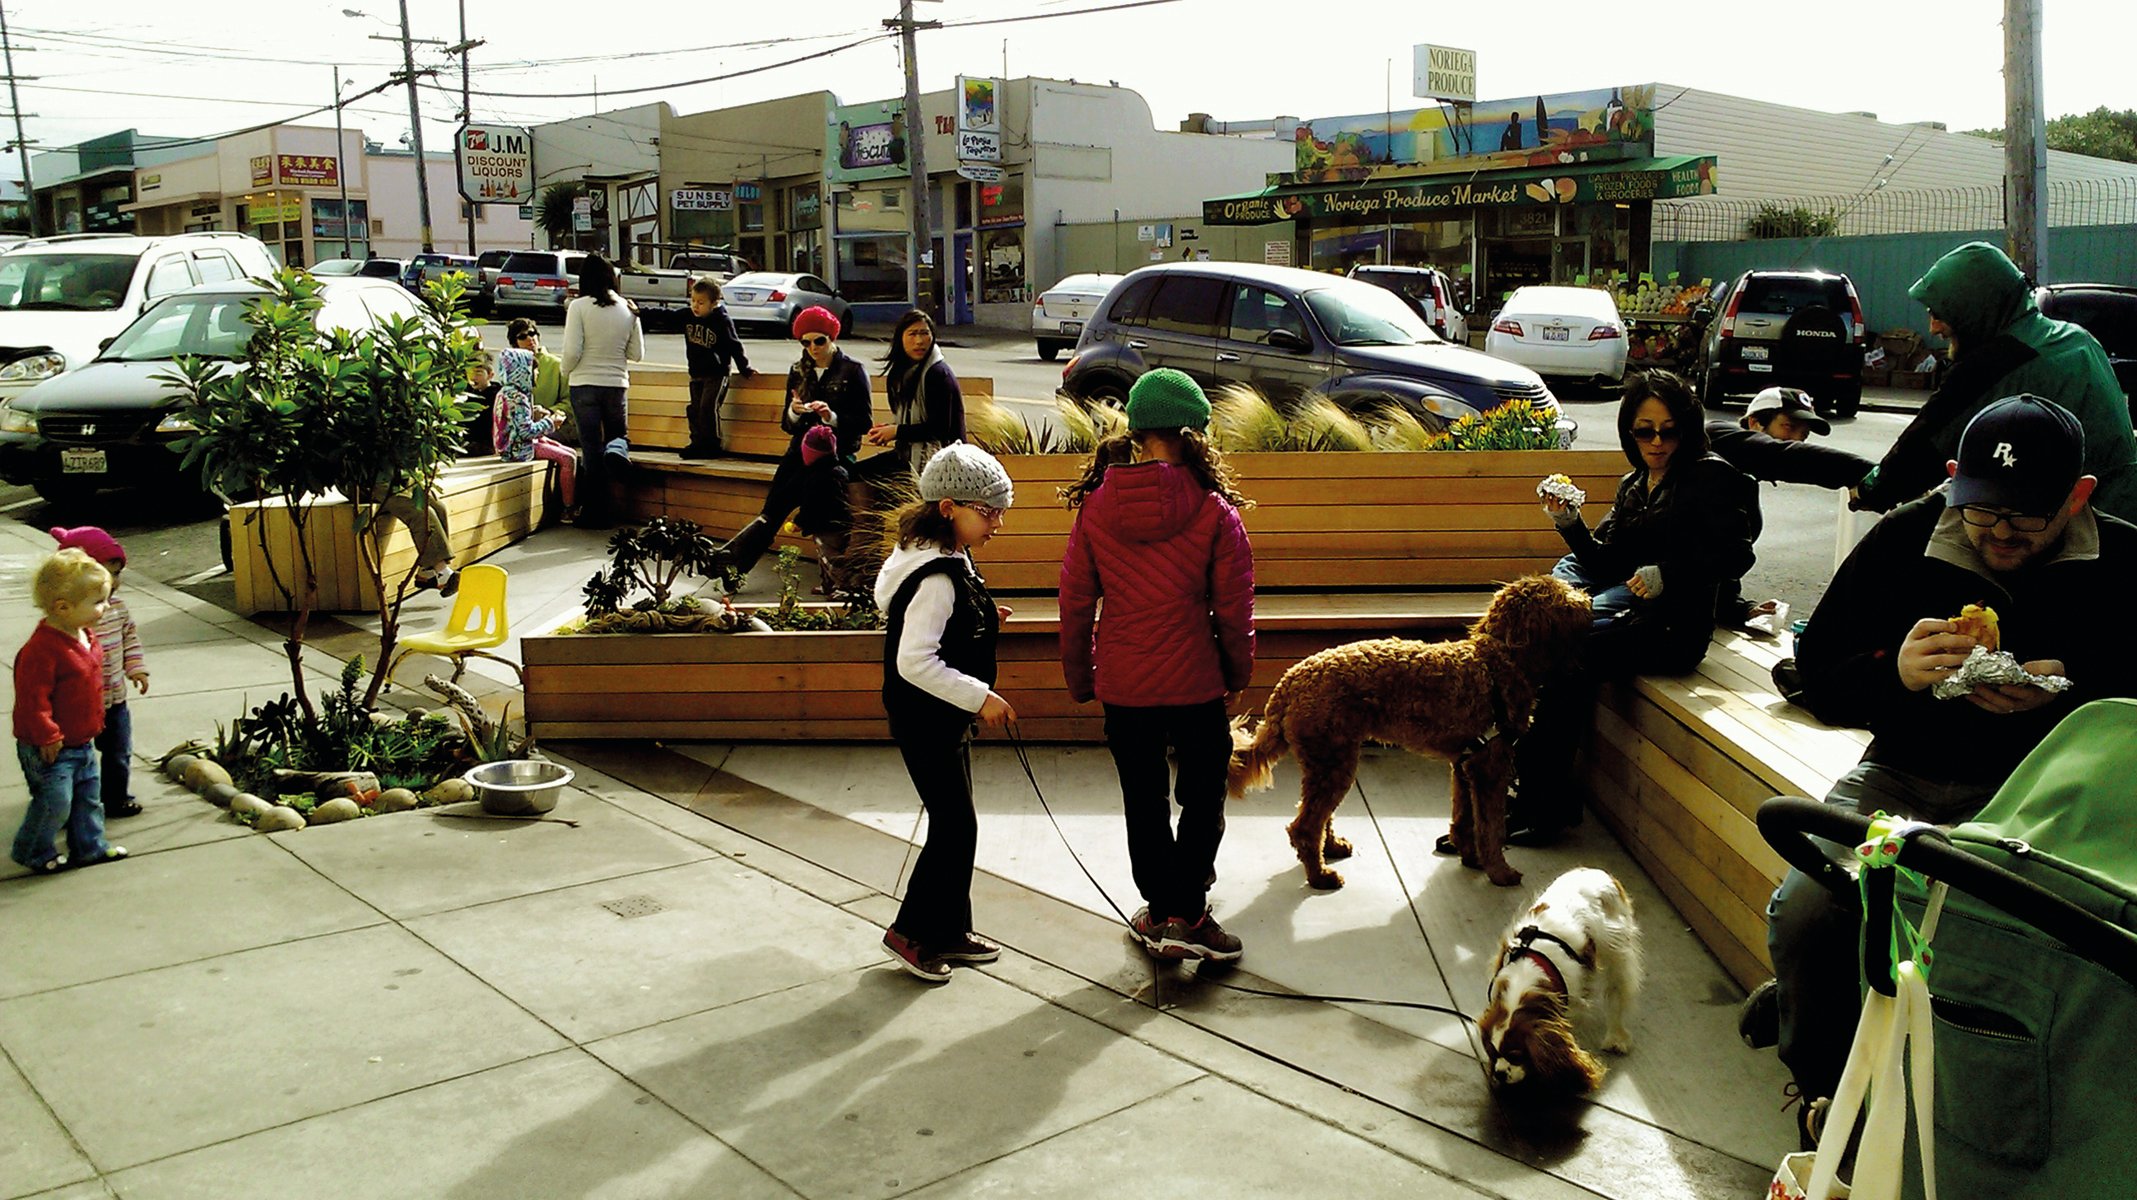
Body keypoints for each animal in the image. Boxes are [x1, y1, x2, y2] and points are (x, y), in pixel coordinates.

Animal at [1478, 862, 1641, 1088]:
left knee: (1617, 991)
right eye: (1492, 1052)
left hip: (1616, 947)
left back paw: (1616, 1036)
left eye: (1516, 1055)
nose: (1500, 1074)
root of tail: (1597, 871)